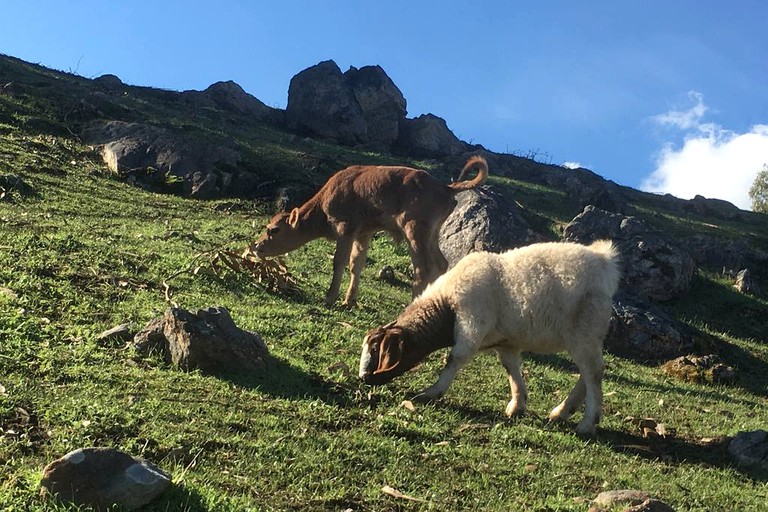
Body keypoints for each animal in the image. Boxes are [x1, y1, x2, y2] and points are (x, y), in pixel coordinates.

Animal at [255, 156, 488, 306]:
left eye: (274, 230)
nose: (257, 245)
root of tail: (446, 188)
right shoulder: (363, 233)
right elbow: (356, 264)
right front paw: (348, 300)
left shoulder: (346, 228)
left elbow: (339, 261)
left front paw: (329, 298)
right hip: (431, 234)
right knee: (441, 264)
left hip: (414, 231)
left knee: (424, 267)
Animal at [358, 241, 616, 436]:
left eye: (376, 348)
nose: (363, 378)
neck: (447, 304)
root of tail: (605, 260)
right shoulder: (507, 343)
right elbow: (511, 370)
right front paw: (517, 406)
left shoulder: (471, 326)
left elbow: (454, 359)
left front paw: (430, 393)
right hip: (585, 337)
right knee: (588, 374)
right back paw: (562, 412)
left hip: (584, 332)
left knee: (593, 373)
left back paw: (587, 423)